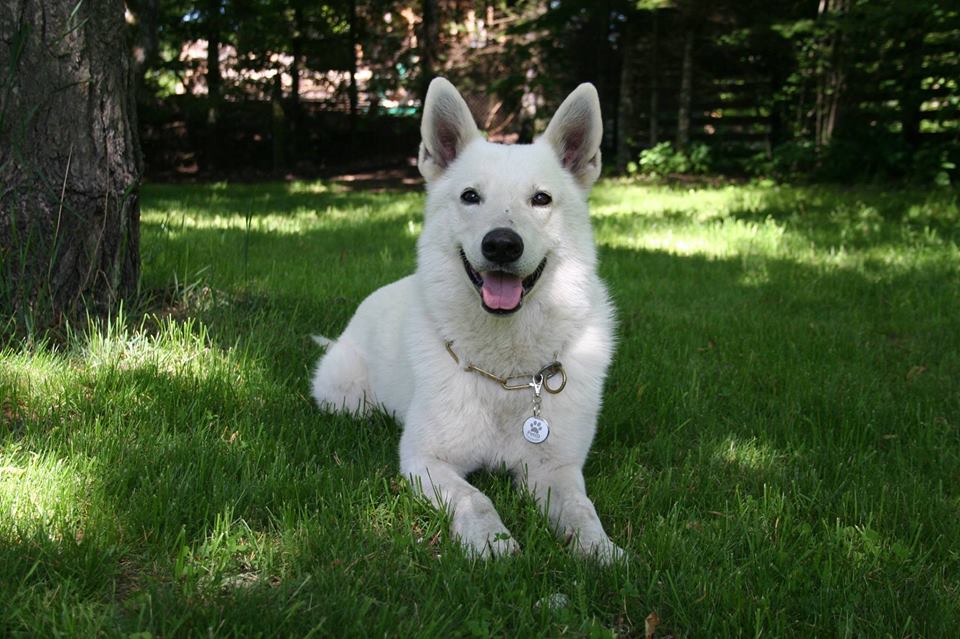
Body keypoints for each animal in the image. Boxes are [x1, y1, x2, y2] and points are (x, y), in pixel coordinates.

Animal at [310, 77, 624, 564]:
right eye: (470, 196)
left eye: (541, 199)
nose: (502, 245)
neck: (506, 375)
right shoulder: (426, 460)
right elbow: (475, 498)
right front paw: (492, 543)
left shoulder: (556, 468)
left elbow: (580, 508)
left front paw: (600, 550)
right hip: (345, 399)